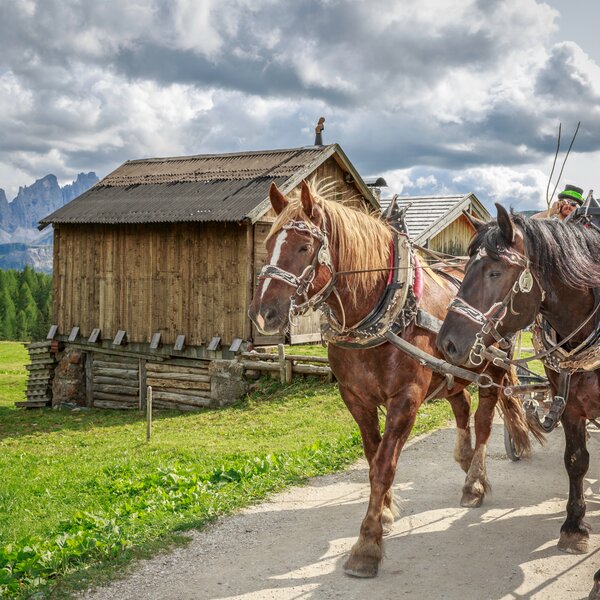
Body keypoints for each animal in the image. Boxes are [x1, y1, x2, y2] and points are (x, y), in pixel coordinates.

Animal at [248, 182, 528, 576]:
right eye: (270, 240)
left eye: (303, 247)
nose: (263, 313)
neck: (379, 309)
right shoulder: (355, 397)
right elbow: (372, 456)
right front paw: (383, 511)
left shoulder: (406, 398)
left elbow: (384, 465)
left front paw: (367, 544)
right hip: (449, 371)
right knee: (461, 403)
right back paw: (464, 457)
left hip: (493, 369)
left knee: (484, 419)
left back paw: (474, 482)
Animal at [434, 205, 600, 596]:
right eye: (465, 268)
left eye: (495, 272)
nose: (446, 343)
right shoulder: (569, 404)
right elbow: (576, 461)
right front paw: (574, 527)